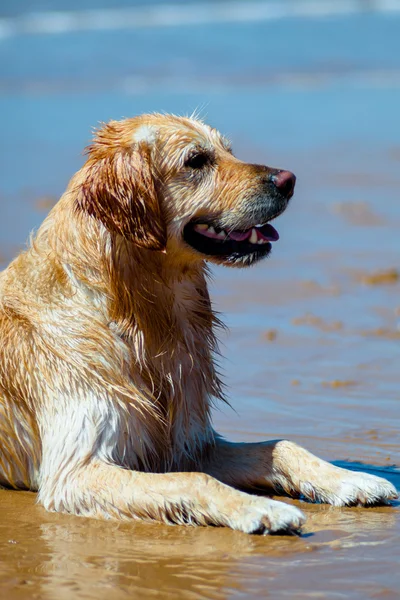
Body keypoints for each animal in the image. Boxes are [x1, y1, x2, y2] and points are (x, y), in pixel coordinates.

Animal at [0, 115, 394, 532]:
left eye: (228, 150)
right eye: (196, 161)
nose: (288, 180)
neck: (137, 316)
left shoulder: (188, 443)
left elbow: (282, 446)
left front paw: (352, 479)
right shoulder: (75, 471)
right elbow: (196, 479)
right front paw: (262, 508)